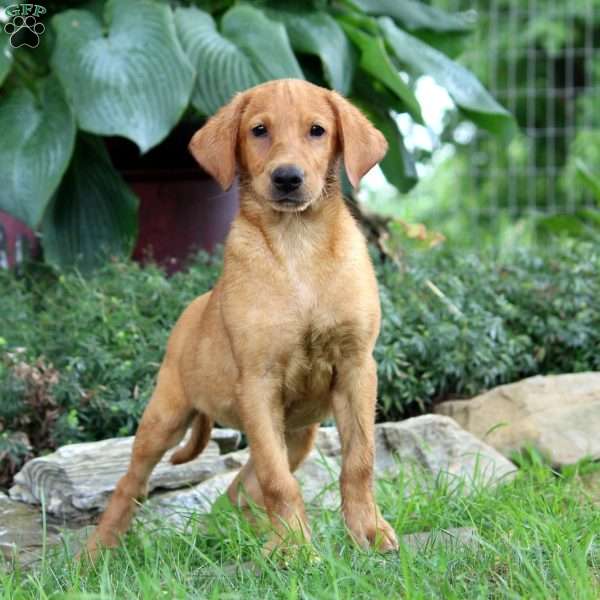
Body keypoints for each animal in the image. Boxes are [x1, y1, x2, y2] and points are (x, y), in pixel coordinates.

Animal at [83, 78, 398, 556]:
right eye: (259, 130)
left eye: (318, 130)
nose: (287, 178)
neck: (297, 243)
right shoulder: (258, 381)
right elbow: (277, 480)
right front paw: (293, 549)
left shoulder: (356, 367)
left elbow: (358, 462)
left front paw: (367, 532)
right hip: (165, 415)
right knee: (132, 483)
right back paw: (94, 553)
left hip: (298, 433)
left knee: (237, 489)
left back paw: (243, 537)